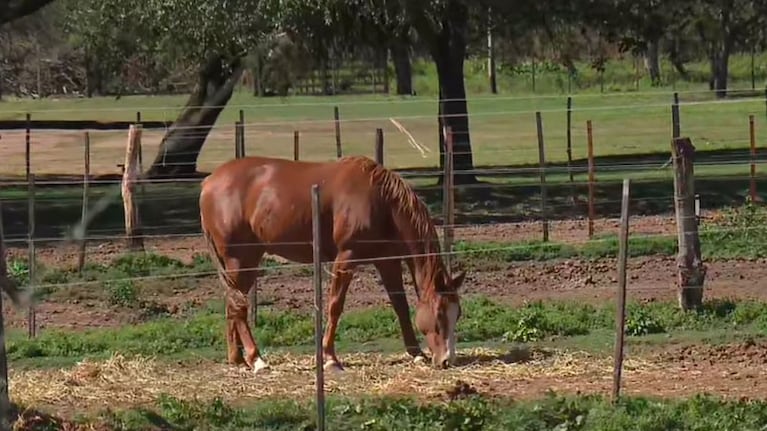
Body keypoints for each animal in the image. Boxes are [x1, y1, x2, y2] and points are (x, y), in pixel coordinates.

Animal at [199, 155, 465, 373]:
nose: (446, 360)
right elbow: (335, 306)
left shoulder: (386, 261)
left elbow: (400, 304)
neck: (380, 202)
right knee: (238, 306)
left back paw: (236, 358)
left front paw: (416, 353)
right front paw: (329, 358)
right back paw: (257, 359)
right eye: (439, 314)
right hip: (240, 259)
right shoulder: (346, 258)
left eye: (458, 314)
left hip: (246, 261)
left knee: (233, 304)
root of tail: (209, 183)